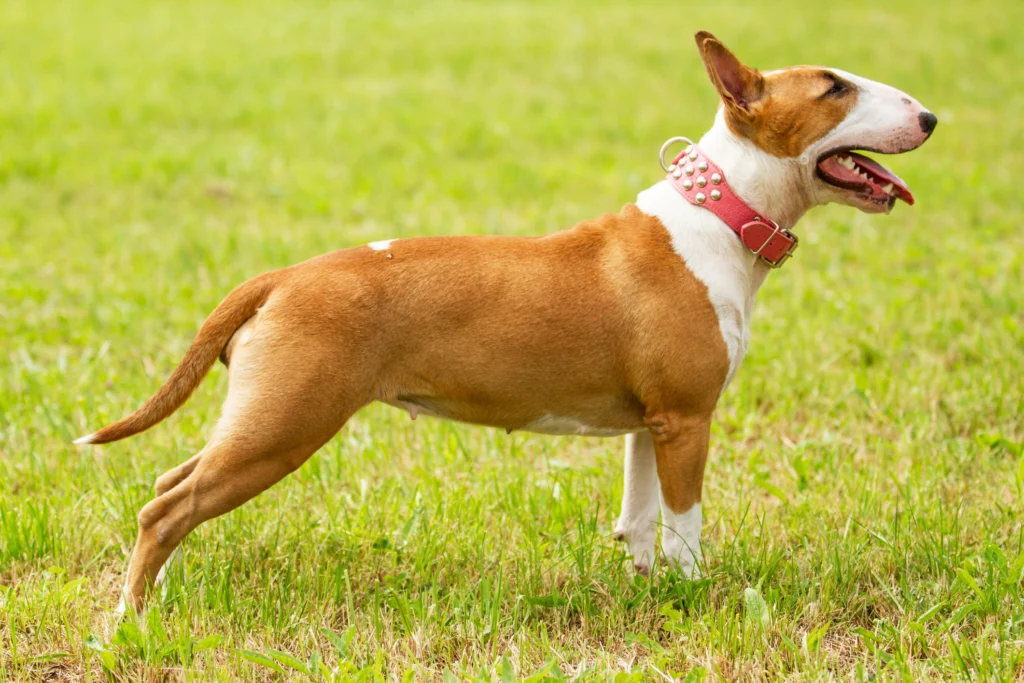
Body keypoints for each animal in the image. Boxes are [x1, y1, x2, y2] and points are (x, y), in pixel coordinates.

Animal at [74, 30, 937, 614]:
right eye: (833, 88)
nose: (930, 116)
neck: (719, 214)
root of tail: (281, 276)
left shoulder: (650, 421)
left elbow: (640, 519)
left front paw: (649, 593)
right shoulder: (689, 418)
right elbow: (685, 524)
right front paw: (703, 596)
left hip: (263, 415)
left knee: (173, 486)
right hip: (288, 420)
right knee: (166, 506)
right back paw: (130, 620)